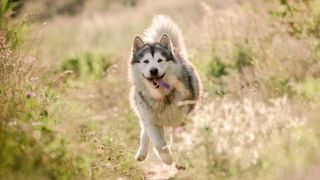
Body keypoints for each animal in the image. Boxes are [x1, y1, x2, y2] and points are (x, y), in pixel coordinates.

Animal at [127, 14, 200, 165]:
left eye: (160, 60)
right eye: (146, 61)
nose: (153, 70)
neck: (162, 97)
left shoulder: (182, 118)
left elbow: (179, 140)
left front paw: (180, 161)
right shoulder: (151, 121)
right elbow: (159, 143)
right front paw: (167, 158)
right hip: (144, 113)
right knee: (145, 131)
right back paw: (142, 153)